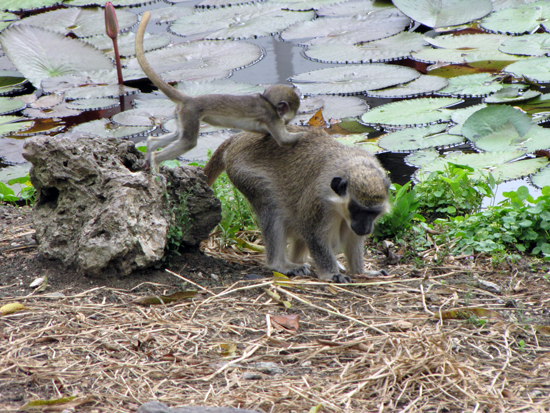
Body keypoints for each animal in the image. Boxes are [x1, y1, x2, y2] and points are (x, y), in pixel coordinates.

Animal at [135, 10, 304, 171]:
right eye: (287, 119)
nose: (286, 122)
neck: (266, 101)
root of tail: (190, 99)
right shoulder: (272, 117)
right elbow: (284, 140)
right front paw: (304, 133)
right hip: (191, 113)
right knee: (187, 142)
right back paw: (156, 159)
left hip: (182, 114)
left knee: (177, 135)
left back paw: (150, 147)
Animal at [206, 125, 392, 284]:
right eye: (356, 209)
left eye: (372, 212)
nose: (365, 228)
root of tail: (238, 137)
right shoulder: (317, 202)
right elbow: (314, 234)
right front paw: (332, 274)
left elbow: (353, 238)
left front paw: (362, 271)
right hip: (243, 172)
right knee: (271, 207)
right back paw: (280, 265)